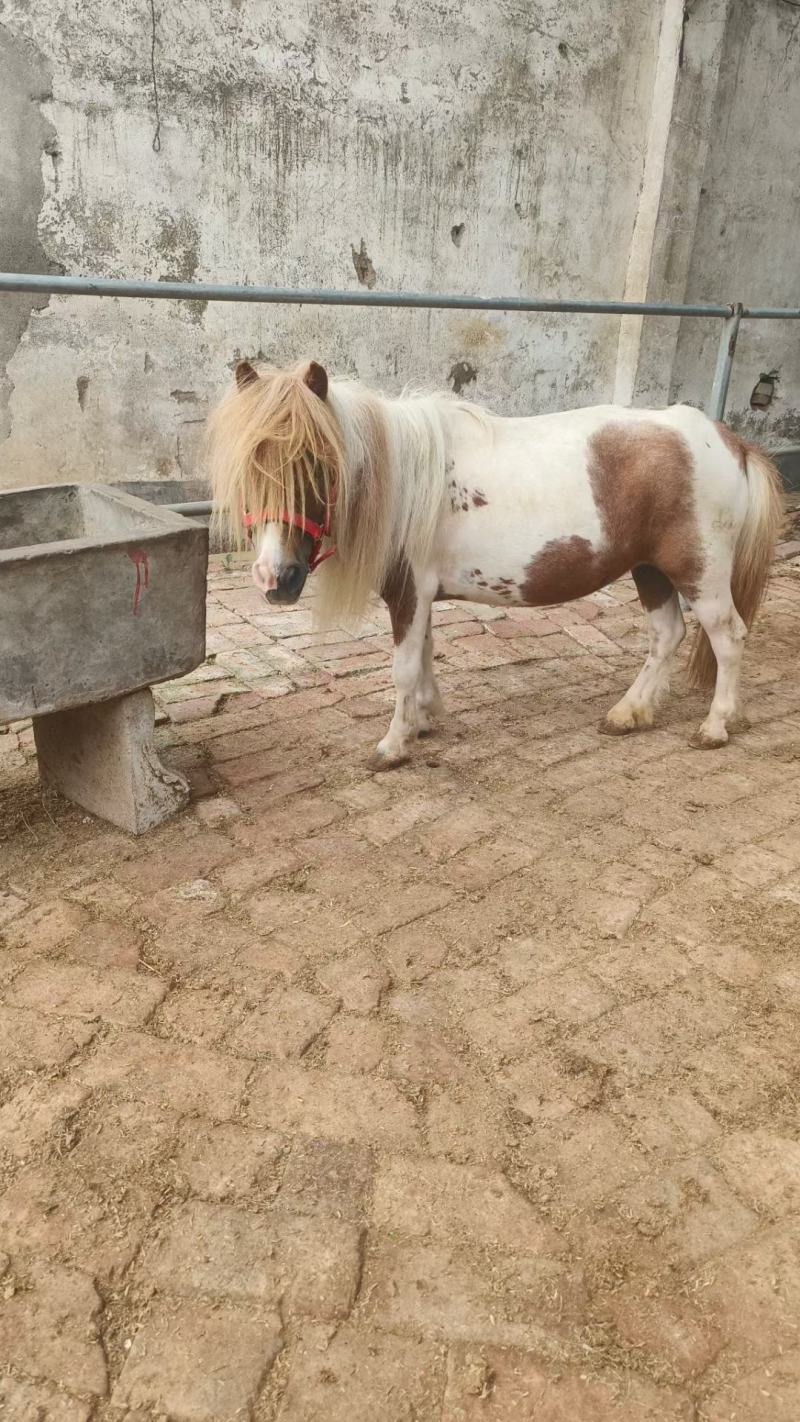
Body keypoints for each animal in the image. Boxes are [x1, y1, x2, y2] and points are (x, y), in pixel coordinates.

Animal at [208, 358, 783, 769]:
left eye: (316, 463)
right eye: (249, 470)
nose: (275, 579)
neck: (406, 477)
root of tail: (730, 441)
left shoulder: (408, 592)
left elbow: (403, 669)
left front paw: (393, 744)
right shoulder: (421, 596)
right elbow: (425, 658)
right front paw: (426, 719)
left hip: (699, 572)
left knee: (727, 637)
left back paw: (715, 726)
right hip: (650, 569)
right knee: (666, 635)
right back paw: (628, 713)